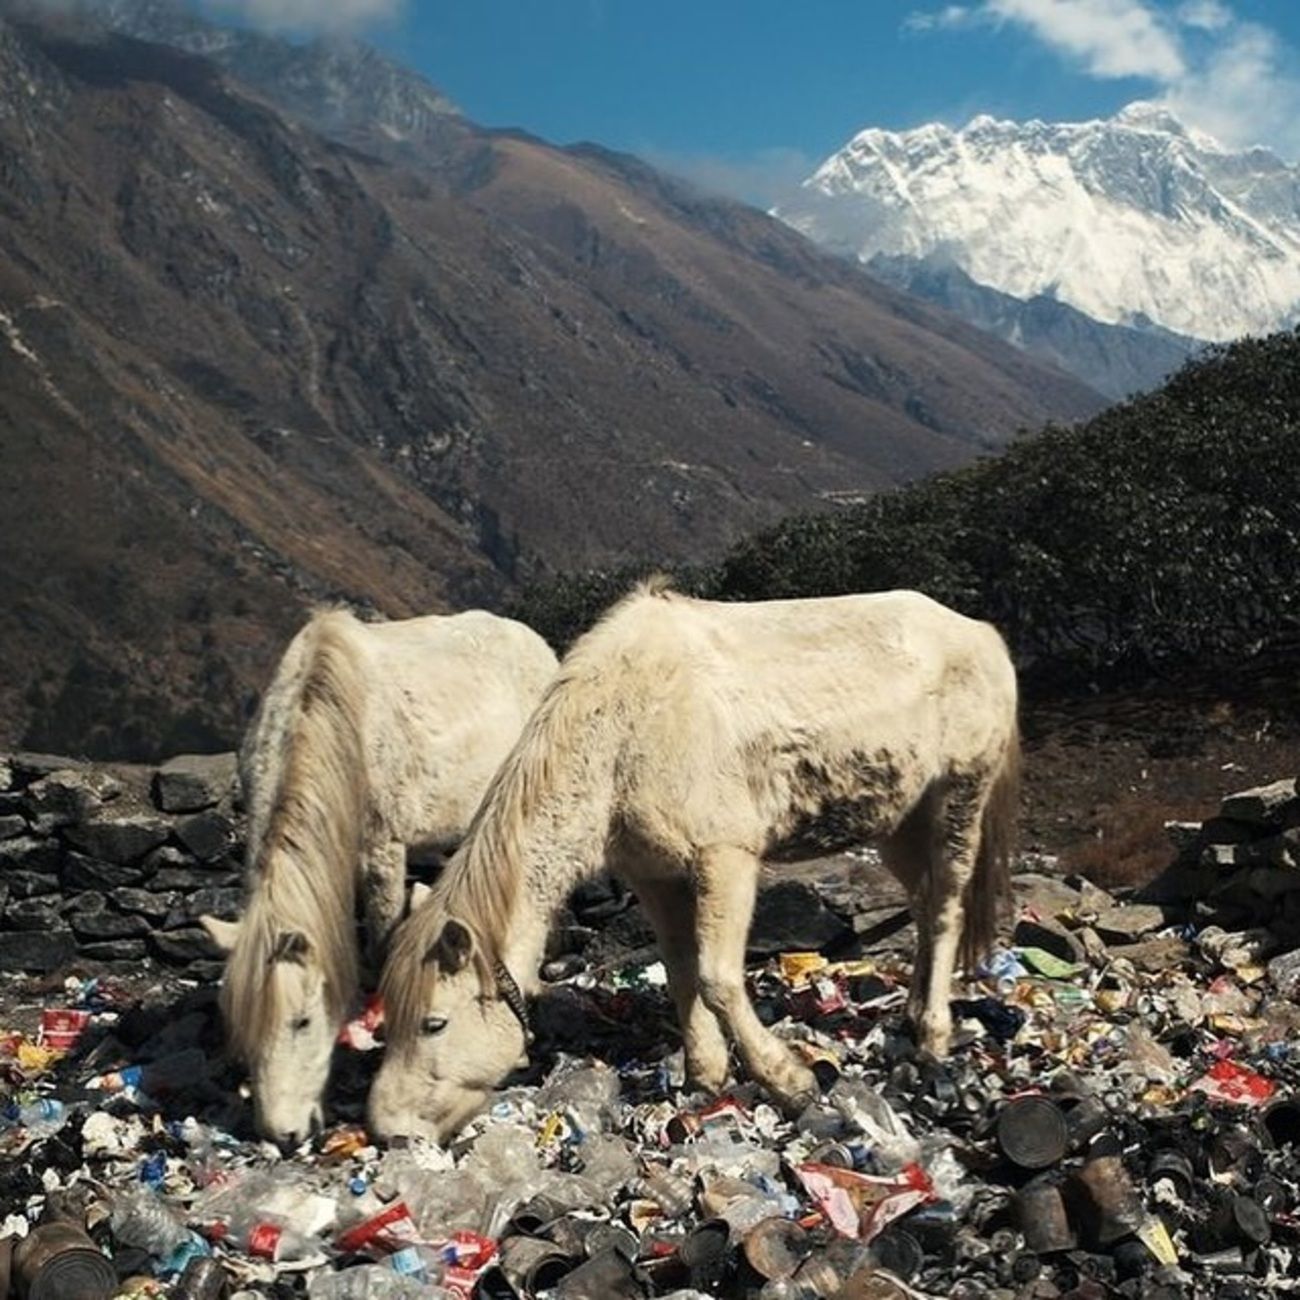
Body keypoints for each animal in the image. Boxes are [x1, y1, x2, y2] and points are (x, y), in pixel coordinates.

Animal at [366, 579, 1013, 1138]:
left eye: (433, 1023)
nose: (388, 1130)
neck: (623, 731)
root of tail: (982, 634)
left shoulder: (725, 858)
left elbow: (716, 978)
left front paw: (789, 1080)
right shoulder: (655, 875)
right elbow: (680, 972)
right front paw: (706, 1077)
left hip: (958, 798)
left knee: (946, 910)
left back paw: (932, 1033)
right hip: (899, 823)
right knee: (923, 906)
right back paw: (911, 1011)